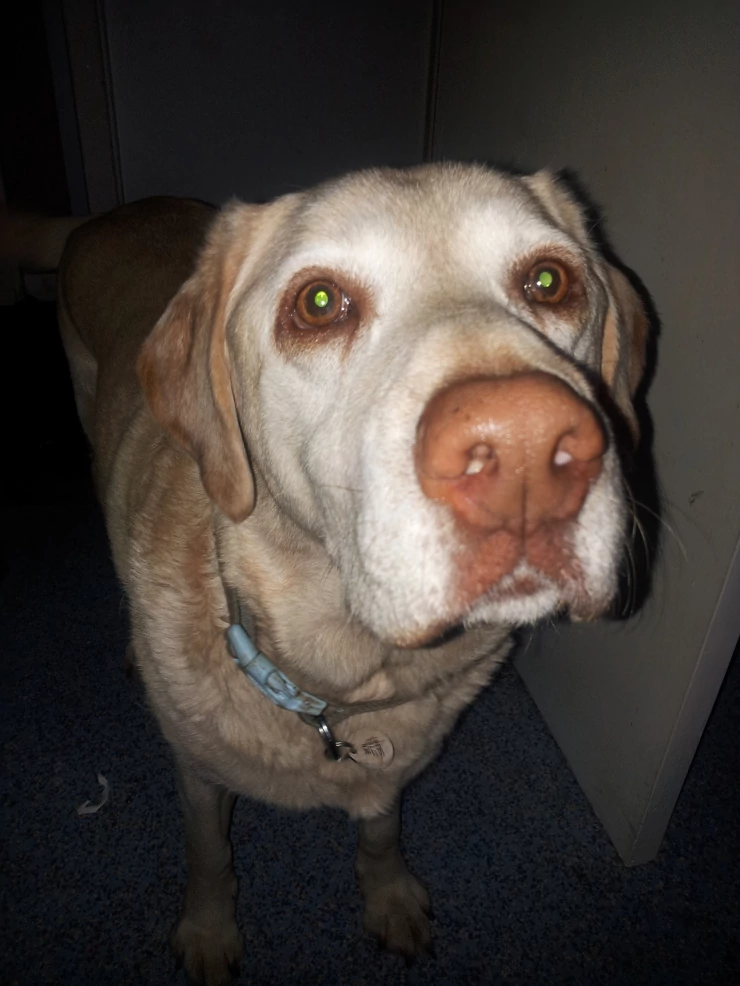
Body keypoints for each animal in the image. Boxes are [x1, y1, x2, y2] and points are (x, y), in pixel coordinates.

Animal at [8, 163, 647, 984]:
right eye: (317, 304)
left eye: (549, 280)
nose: (528, 447)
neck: (347, 684)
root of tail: (112, 214)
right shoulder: (198, 777)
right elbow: (208, 855)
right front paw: (209, 930)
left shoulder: (397, 768)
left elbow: (379, 832)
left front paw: (390, 898)